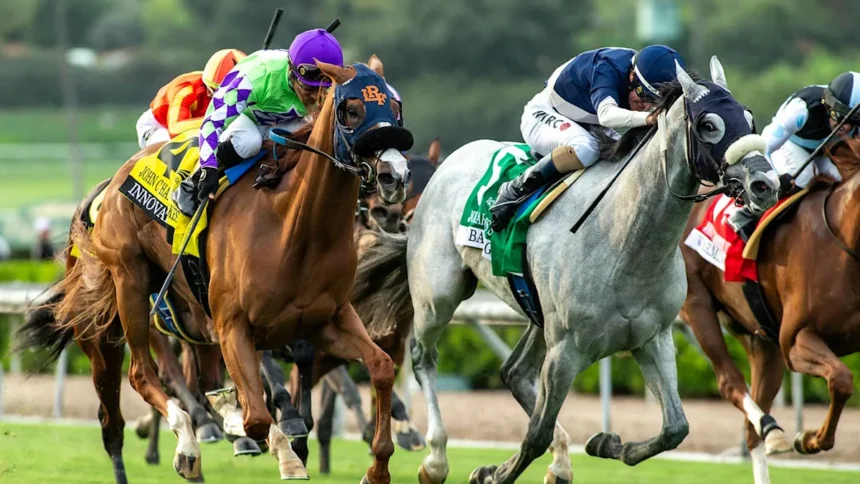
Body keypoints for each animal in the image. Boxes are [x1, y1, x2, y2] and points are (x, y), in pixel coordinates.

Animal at [17, 57, 411, 484]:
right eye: (352, 109)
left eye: (395, 106)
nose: (395, 175)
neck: (294, 228)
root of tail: (112, 182)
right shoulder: (232, 325)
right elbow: (258, 416)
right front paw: (284, 452)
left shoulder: (328, 319)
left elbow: (380, 367)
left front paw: (377, 467)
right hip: (124, 296)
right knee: (136, 382)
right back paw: (187, 441)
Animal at [351, 58, 782, 483]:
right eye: (709, 124)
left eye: (748, 118)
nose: (765, 184)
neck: (625, 240)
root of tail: (445, 165)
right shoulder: (567, 349)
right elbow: (535, 434)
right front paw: (494, 473)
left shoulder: (653, 337)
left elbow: (675, 428)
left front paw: (606, 443)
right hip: (437, 294)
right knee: (424, 356)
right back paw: (436, 459)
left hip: (536, 311)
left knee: (513, 371)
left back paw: (559, 462)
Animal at [678, 137, 860, 484]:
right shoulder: (795, 340)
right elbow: (842, 379)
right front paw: (809, 439)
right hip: (697, 305)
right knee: (730, 384)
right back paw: (774, 430)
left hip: (763, 342)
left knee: (752, 430)